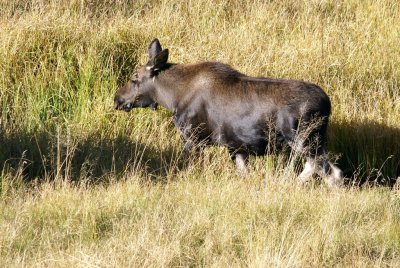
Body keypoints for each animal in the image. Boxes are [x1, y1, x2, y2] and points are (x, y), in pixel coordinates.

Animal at [113, 38, 344, 186]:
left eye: (134, 78)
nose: (117, 99)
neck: (172, 98)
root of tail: (328, 104)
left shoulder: (193, 139)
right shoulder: (236, 147)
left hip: (305, 140)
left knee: (333, 173)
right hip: (311, 142)